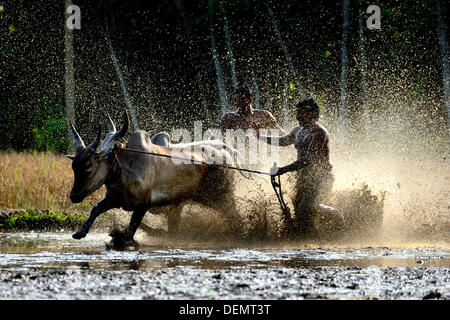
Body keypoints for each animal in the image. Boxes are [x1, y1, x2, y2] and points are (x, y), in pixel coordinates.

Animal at [69, 110, 246, 245]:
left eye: (88, 165)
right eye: (74, 166)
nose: (73, 196)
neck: (122, 167)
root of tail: (227, 153)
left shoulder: (143, 205)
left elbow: (130, 231)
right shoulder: (115, 199)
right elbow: (95, 209)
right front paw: (80, 232)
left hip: (221, 196)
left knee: (235, 215)